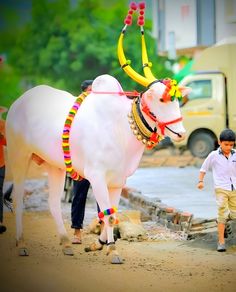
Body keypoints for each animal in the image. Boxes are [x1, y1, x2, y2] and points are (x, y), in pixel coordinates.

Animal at [6, 74, 190, 264]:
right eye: (161, 99)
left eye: (177, 100)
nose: (181, 133)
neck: (121, 127)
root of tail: (18, 103)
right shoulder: (96, 177)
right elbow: (108, 215)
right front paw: (113, 250)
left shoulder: (117, 181)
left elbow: (112, 215)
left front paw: (99, 244)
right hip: (19, 157)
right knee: (17, 199)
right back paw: (21, 244)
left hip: (55, 167)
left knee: (53, 203)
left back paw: (65, 243)